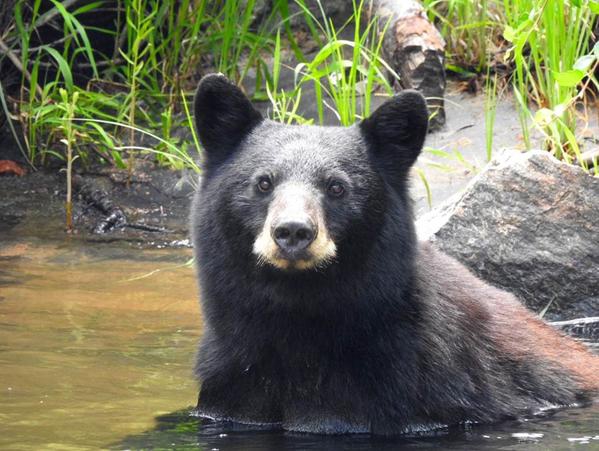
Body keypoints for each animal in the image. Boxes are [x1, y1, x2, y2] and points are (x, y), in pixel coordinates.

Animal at [189, 75, 599, 438]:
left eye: (336, 187)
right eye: (263, 182)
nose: (293, 231)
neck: (300, 313)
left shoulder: (411, 385)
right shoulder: (233, 383)